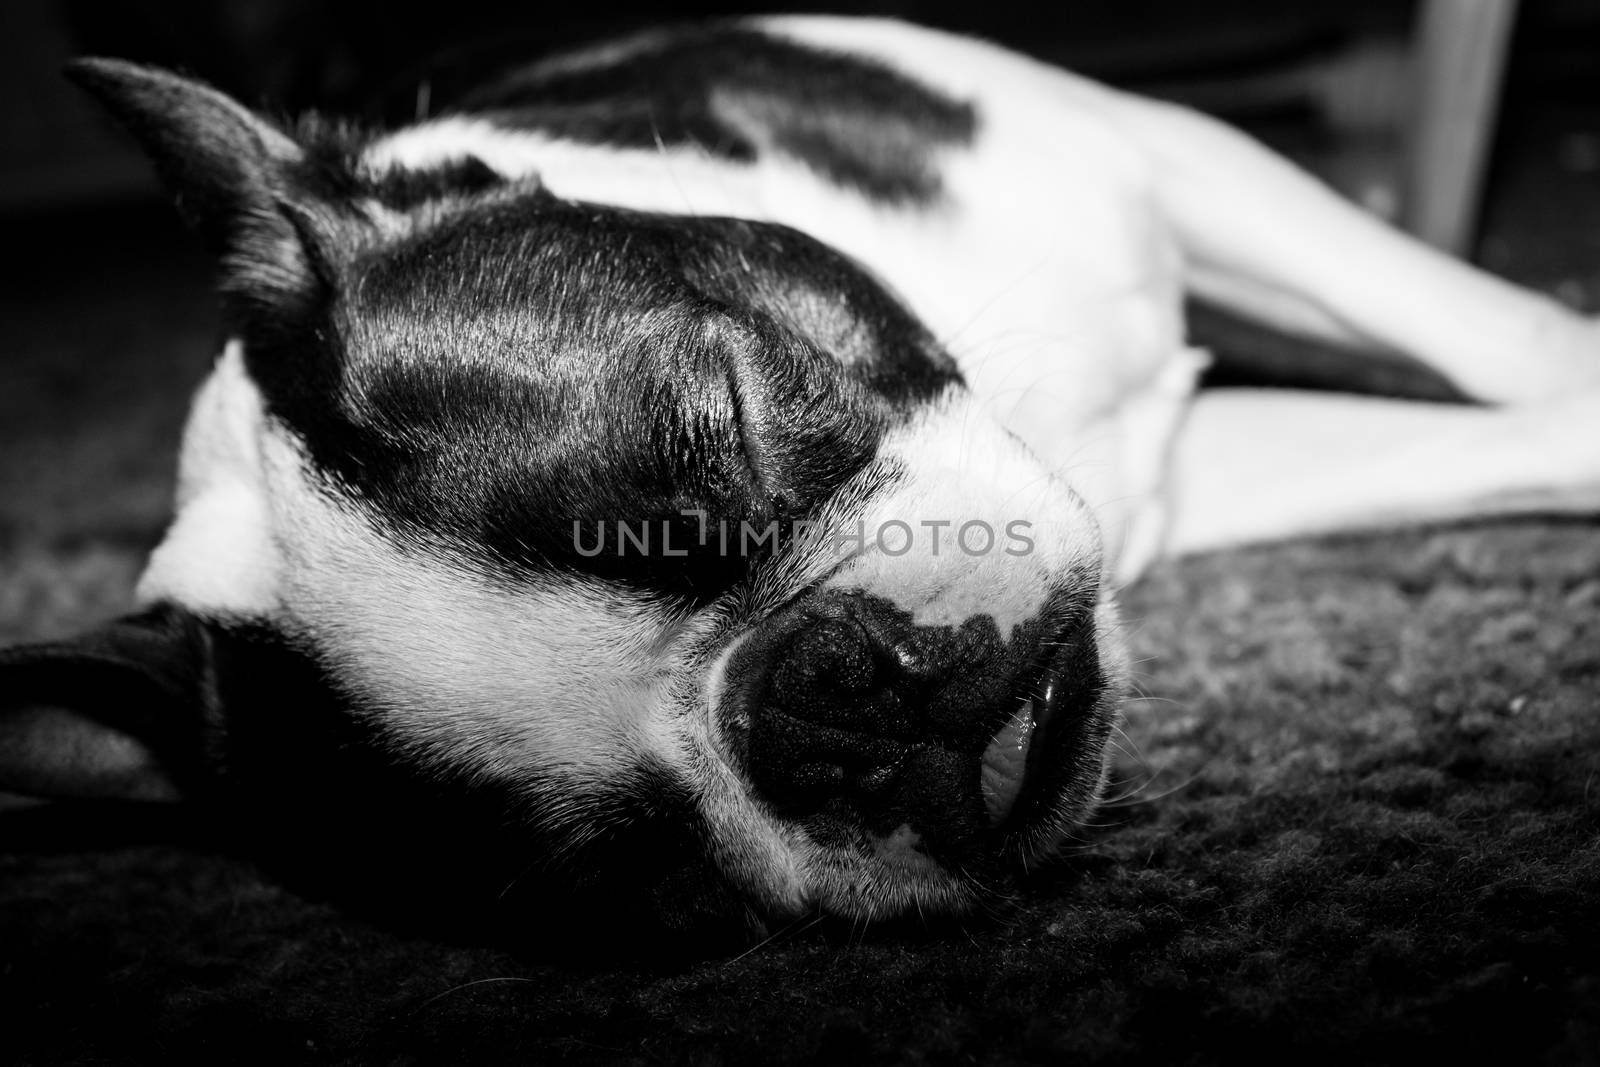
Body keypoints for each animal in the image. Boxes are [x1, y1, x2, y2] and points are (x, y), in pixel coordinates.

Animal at [3, 16, 1600, 953]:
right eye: (636, 873)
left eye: (729, 408)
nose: (831, 698)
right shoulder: (1184, 471)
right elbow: (1487, 437)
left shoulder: (1162, 151)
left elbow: (1499, 333)